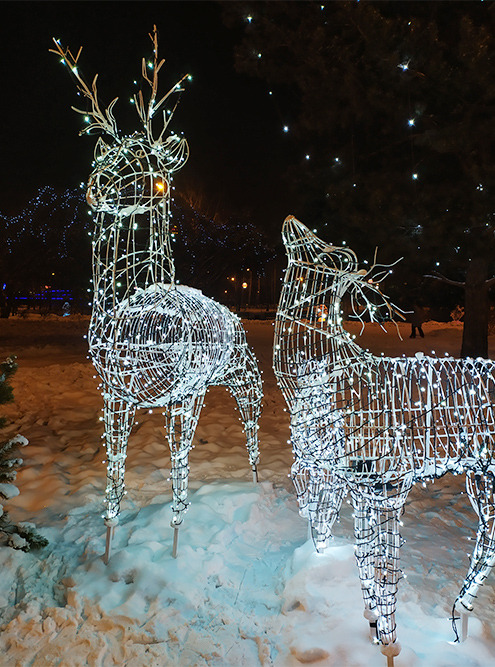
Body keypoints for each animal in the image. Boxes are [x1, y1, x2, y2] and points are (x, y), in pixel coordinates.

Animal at [51, 26, 264, 560]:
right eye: (106, 154)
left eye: (147, 161)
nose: (98, 183)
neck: (127, 311)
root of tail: (235, 316)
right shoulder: (113, 395)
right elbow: (113, 473)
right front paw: (108, 546)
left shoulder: (183, 395)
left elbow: (178, 467)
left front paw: (174, 542)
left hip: (240, 377)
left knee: (253, 428)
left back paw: (256, 489)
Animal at [274, 218, 495, 664]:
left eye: (327, 250)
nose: (292, 222)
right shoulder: (357, 483)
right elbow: (353, 549)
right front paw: (374, 625)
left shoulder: (390, 484)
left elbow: (384, 566)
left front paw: (389, 637)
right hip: (480, 473)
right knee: (487, 531)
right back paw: (460, 612)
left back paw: (459, 616)